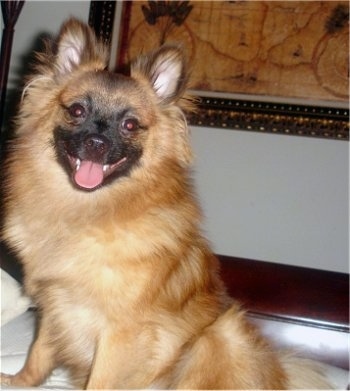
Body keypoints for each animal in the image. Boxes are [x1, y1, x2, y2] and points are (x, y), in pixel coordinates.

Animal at [0, 19, 332, 391]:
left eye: (130, 124)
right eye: (76, 111)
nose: (97, 143)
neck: (85, 212)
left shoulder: (120, 333)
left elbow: (99, 381)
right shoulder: (53, 305)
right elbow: (39, 352)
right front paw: (19, 381)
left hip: (220, 336)